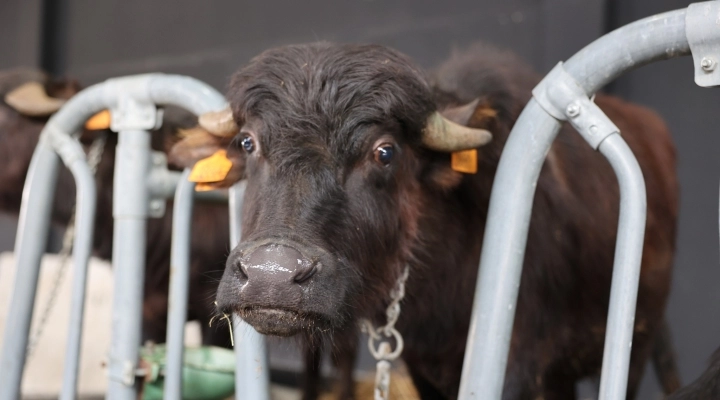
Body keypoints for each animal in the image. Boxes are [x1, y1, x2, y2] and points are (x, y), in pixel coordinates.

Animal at [172, 42, 676, 398]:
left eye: (385, 151)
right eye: (247, 142)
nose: (271, 275)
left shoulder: (519, 365)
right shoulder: (424, 370)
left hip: (634, 343)